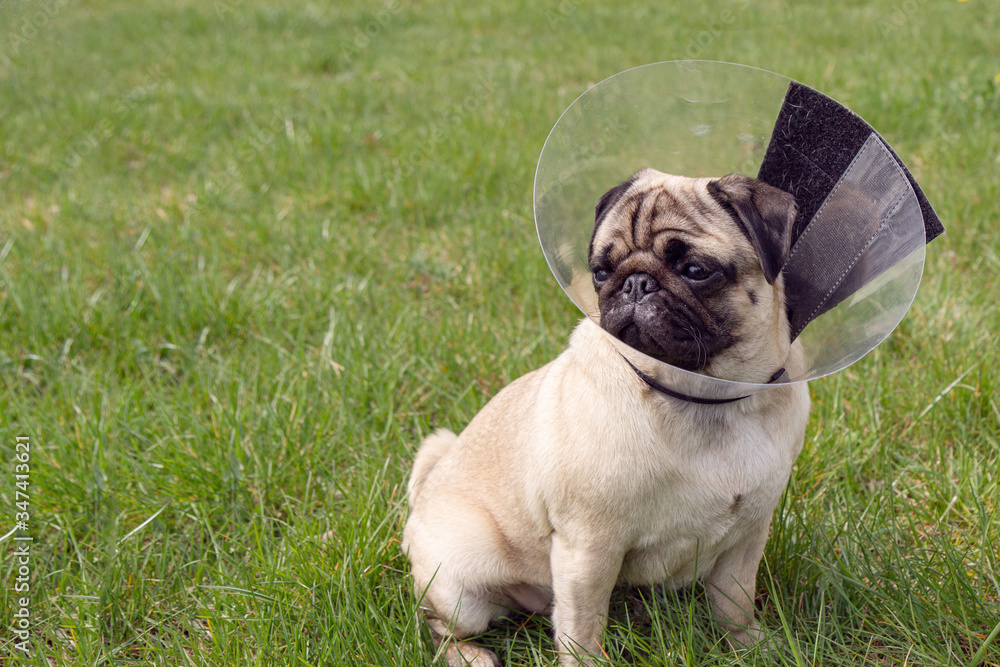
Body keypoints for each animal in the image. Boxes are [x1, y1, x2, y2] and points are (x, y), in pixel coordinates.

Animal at [402, 170, 808, 664]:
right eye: (600, 272)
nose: (634, 283)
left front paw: (748, 643)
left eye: (696, 271)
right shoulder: (589, 548)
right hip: (461, 585)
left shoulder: (748, 533)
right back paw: (469, 655)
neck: (706, 398)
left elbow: (734, 599)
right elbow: (583, 625)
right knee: (441, 627)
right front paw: (589, 661)